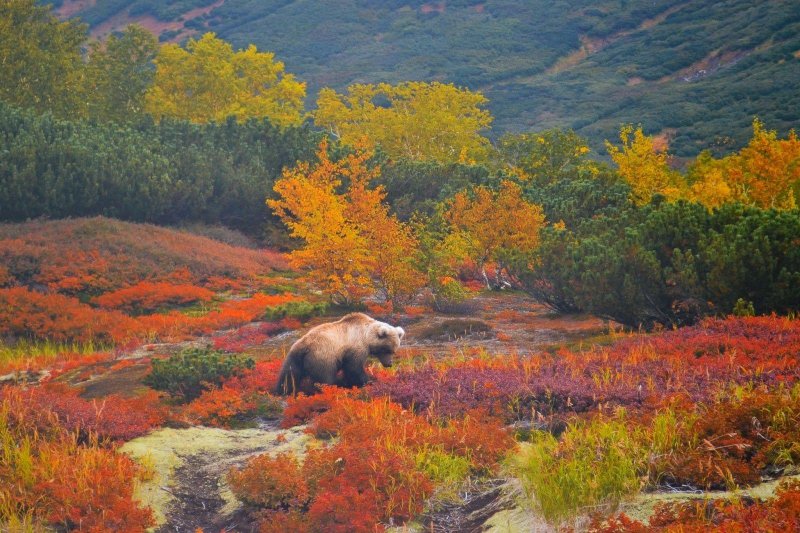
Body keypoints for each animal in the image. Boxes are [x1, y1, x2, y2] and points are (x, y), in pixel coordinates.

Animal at [274, 312, 404, 394]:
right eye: (386, 350)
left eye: (394, 351)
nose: (389, 364)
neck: (366, 337)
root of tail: (305, 346)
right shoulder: (356, 347)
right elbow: (354, 368)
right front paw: (368, 380)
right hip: (323, 357)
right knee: (325, 378)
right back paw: (331, 387)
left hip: (294, 357)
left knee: (288, 375)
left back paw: (281, 391)